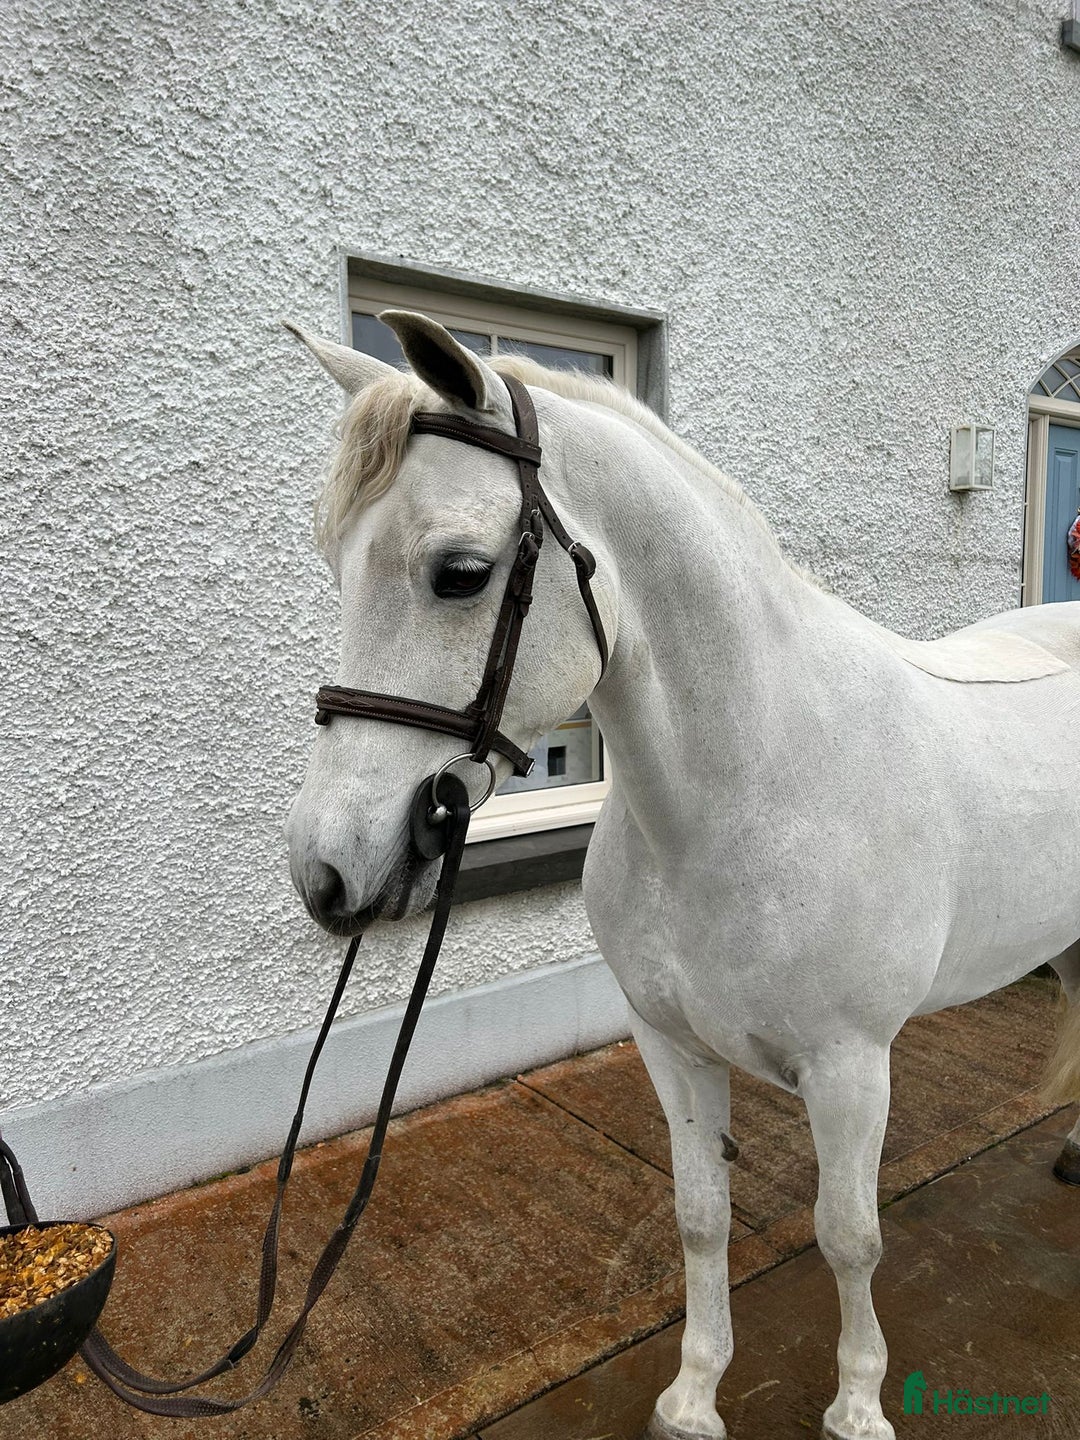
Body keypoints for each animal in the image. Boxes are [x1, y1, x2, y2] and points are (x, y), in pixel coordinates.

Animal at [284, 309, 1080, 1440]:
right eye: (333, 561)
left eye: (459, 573)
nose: (327, 870)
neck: (755, 785)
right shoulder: (670, 1045)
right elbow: (701, 1217)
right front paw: (695, 1394)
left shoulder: (851, 1068)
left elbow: (850, 1236)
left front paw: (858, 1404)